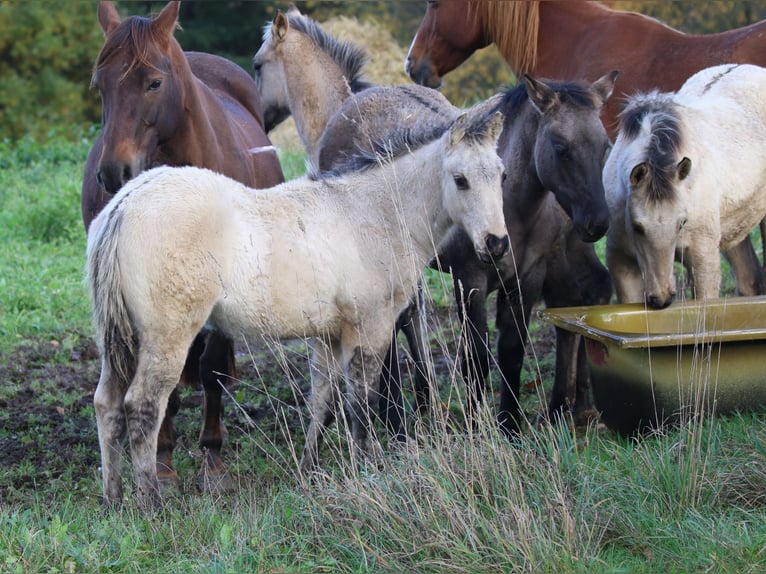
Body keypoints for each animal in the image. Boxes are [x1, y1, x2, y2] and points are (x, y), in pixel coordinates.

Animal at [82, 1, 284, 495]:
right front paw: (165, 462)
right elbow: (163, 386)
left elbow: (210, 369)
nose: (113, 172)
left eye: (154, 82)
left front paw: (212, 459)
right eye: (100, 85)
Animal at [86, 98, 508, 508]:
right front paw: (367, 469)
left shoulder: (329, 335)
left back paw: (113, 500)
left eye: (502, 175)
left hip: (120, 338)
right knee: (142, 405)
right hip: (167, 336)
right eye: (460, 179)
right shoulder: (370, 327)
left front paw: (310, 470)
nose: (496, 244)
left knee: (107, 404)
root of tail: (124, 205)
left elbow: (323, 401)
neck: (374, 213)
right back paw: (150, 504)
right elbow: (361, 403)